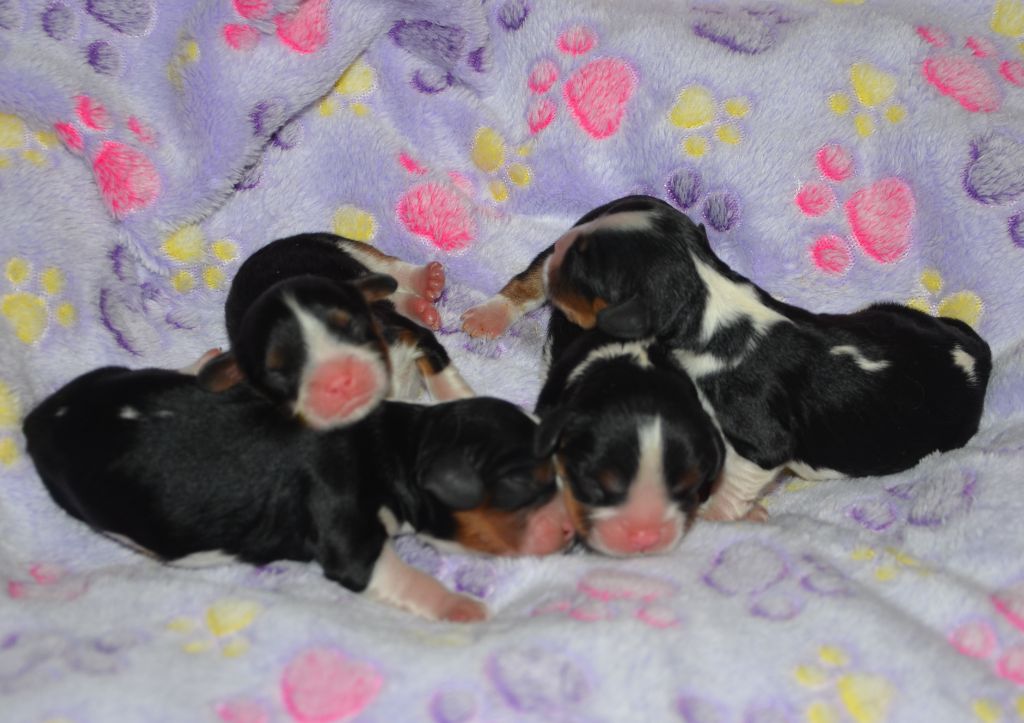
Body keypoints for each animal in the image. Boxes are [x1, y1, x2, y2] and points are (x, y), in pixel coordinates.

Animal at [22, 362, 575, 622]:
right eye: (524, 483)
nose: (572, 532)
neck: (395, 444)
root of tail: (42, 417)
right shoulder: (347, 533)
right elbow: (397, 573)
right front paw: (460, 607)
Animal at [200, 234, 473, 429]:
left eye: (352, 327)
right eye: (278, 373)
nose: (340, 380)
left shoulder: (409, 334)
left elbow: (441, 375)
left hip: (342, 246)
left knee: (389, 268)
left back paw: (428, 280)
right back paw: (421, 307)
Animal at [465, 195, 992, 521]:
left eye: (584, 270)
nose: (562, 247)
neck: (708, 295)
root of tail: (977, 354)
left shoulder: (760, 438)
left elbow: (741, 472)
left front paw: (721, 508)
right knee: (527, 281)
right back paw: (488, 316)